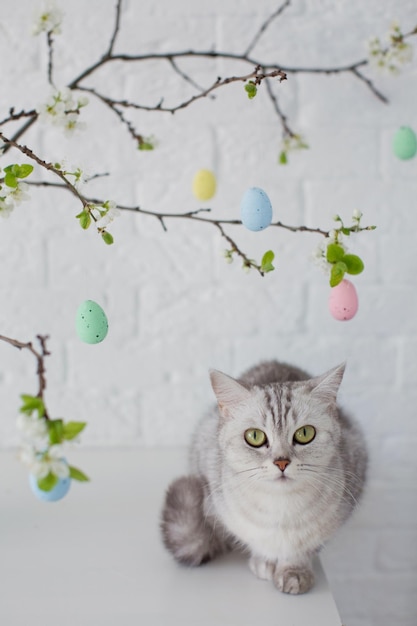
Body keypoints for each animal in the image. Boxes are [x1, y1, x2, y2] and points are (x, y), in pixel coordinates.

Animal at [161, 358, 366, 592]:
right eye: (255, 436)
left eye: (305, 433)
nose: (281, 462)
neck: (282, 509)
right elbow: (257, 542)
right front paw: (265, 561)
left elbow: (302, 550)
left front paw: (294, 571)